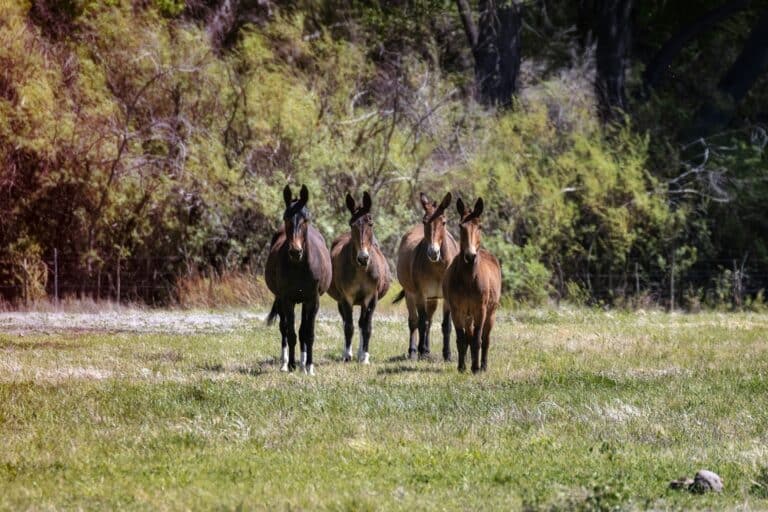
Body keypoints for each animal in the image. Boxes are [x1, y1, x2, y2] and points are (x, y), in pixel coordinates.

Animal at [264, 184, 332, 375]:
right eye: (286, 218)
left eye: (305, 219)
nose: (296, 252)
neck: (300, 266)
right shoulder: (287, 300)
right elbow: (291, 333)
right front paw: (292, 365)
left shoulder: (312, 300)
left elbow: (308, 333)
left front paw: (309, 366)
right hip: (282, 300)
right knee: (284, 329)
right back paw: (285, 362)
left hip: (303, 302)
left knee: (303, 330)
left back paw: (302, 363)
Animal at [328, 191, 391, 363]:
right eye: (352, 224)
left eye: (371, 223)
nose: (363, 258)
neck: (362, 270)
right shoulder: (346, 298)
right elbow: (348, 326)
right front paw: (347, 355)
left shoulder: (371, 297)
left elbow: (367, 327)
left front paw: (365, 357)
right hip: (341, 301)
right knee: (348, 322)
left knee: (363, 323)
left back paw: (360, 353)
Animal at [393, 192, 459, 361]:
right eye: (424, 221)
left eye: (444, 222)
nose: (433, 253)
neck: (438, 267)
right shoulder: (420, 294)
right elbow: (421, 323)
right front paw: (421, 352)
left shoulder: (447, 297)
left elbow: (446, 325)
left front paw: (447, 355)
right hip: (410, 295)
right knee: (414, 322)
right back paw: (414, 351)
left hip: (433, 298)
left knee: (429, 320)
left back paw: (427, 350)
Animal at [442, 197, 502, 373]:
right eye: (461, 226)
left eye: (479, 226)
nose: (470, 256)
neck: (469, 279)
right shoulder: (456, 310)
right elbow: (461, 339)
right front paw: (461, 367)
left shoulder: (480, 310)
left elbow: (477, 339)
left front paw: (475, 368)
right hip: (467, 316)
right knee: (468, 336)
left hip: (490, 313)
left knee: (485, 339)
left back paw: (483, 366)